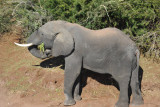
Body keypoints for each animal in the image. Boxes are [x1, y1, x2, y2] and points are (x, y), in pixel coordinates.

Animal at [14, 20, 144, 107]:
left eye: (41, 34)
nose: (46, 51)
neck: (65, 26)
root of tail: (135, 48)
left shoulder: (75, 51)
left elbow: (72, 72)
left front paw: (68, 103)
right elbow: (78, 74)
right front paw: (78, 99)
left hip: (122, 60)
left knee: (122, 80)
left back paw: (119, 105)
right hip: (133, 62)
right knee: (134, 80)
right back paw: (137, 104)